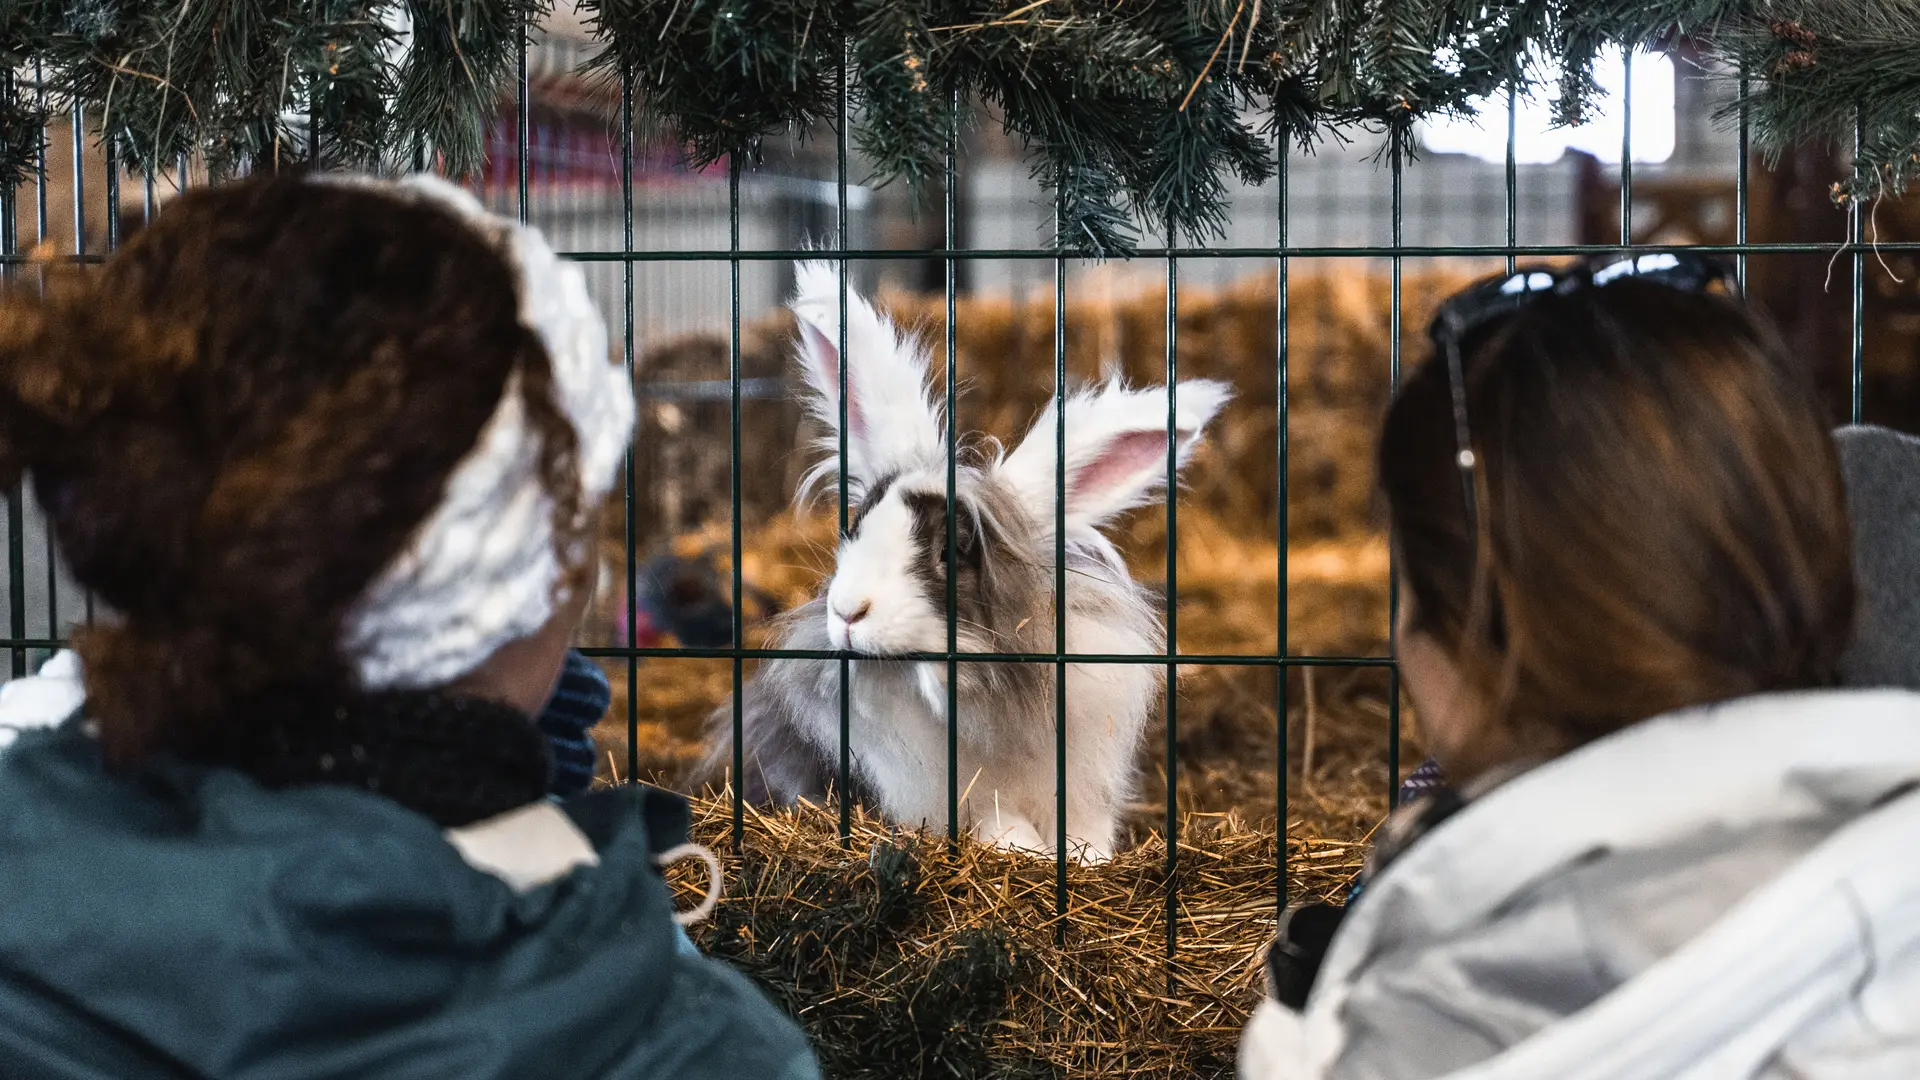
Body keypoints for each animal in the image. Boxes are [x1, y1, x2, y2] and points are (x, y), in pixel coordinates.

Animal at [706, 265, 1228, 860]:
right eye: (856, 525)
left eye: (951, 552)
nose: (848, 611)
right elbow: (1002, 826)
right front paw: (1026, 851)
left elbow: (1083, 831)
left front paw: (1087, 857)